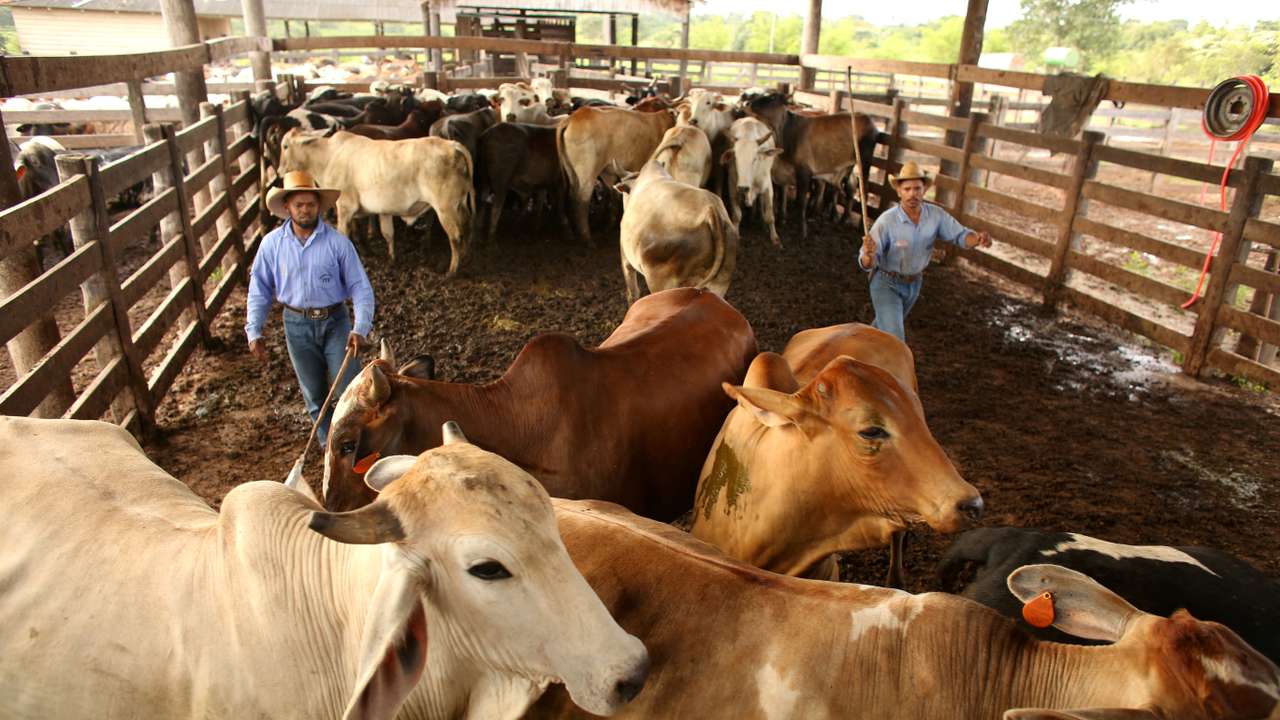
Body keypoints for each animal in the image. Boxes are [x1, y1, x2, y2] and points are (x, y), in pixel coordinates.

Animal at [278, 129, 474, 272]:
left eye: (285, 146)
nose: (279, 171)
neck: (328, 158)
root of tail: (452, 144)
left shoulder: (345, 206)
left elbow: (345, 235)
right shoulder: (381, 210)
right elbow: (386, 234)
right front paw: (389, 258)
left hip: (445, 207)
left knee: (455, 236)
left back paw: (452, 271)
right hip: (460, 204)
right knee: (466, 226)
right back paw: (465, 256)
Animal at [721, 116, 782, 247]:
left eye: (755, 158)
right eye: (735, 158)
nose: (743, 188)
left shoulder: (768, 188)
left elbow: (770, 215)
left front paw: (774, 237)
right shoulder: (732, 187)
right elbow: (737, 215)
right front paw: (736, 233)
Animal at [745, 91, 879, 239]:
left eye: (772, 97)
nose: (748, 103)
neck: (786, 133)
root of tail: (868, 119)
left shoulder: (804, 171)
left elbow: (801, 201)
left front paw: (802, 231)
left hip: (864, 161)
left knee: (863, 190)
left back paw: (860, 227)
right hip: (849, 167)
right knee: (847, 188)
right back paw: (842, 219)